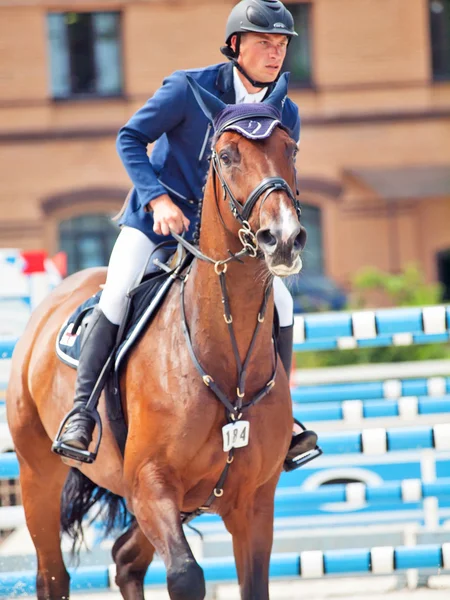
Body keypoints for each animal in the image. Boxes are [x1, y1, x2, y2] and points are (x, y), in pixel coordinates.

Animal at [7, 75, 308, 600]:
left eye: (290, 149)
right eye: (225, 155)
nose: (284, 239)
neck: (224, 358)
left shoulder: (253, 503)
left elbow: (252, 585)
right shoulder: (151, 485)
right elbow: (186, 577)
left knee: (125, 558)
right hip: (37, 474)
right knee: (53, 574)